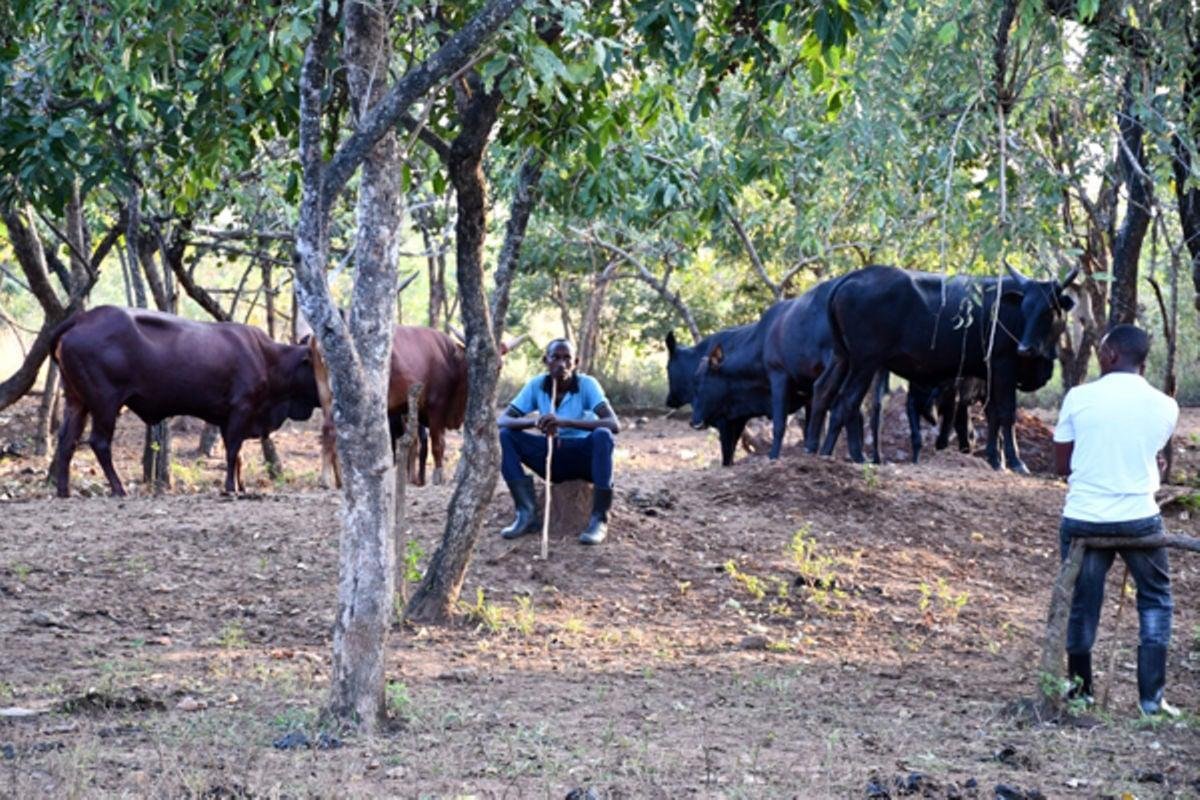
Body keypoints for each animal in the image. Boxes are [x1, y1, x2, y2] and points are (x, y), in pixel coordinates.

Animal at [50, 305, 320, 497]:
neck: (268, 358)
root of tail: (83, 317)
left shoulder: (229, 417)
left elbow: (239, 456)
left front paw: (241, 486)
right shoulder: (241, 408)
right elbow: (234, 451)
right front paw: (230, 488)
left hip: (77, 401)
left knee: (66, 441)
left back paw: (64, 491)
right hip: (105, 404)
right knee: (99, 443)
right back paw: (119, 488)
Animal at [311, 326, 526, 488]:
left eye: (502, 353)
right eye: (476, 356)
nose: (497, 366)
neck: (450, 359)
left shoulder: (411, 409)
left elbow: (414, 442)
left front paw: (412, 479)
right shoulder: (437, 407)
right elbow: (438, 444)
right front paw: (438, 476)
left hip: (327, 398)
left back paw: (338, 480)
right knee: (332, 432)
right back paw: (327, 479)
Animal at [813, 264, 1074, 472]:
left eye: (1049, 309)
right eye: (1025, 308)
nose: (1025, 348)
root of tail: (853, 276)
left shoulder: (989, 375)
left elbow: (993, 416)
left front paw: (995, 460)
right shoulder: (1004, 366)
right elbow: (1007, 414)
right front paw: (1016, 462)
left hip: (844, 358)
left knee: (826, 393)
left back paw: (822, 451)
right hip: (864, 363)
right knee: (847, 402)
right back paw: (848, 456)